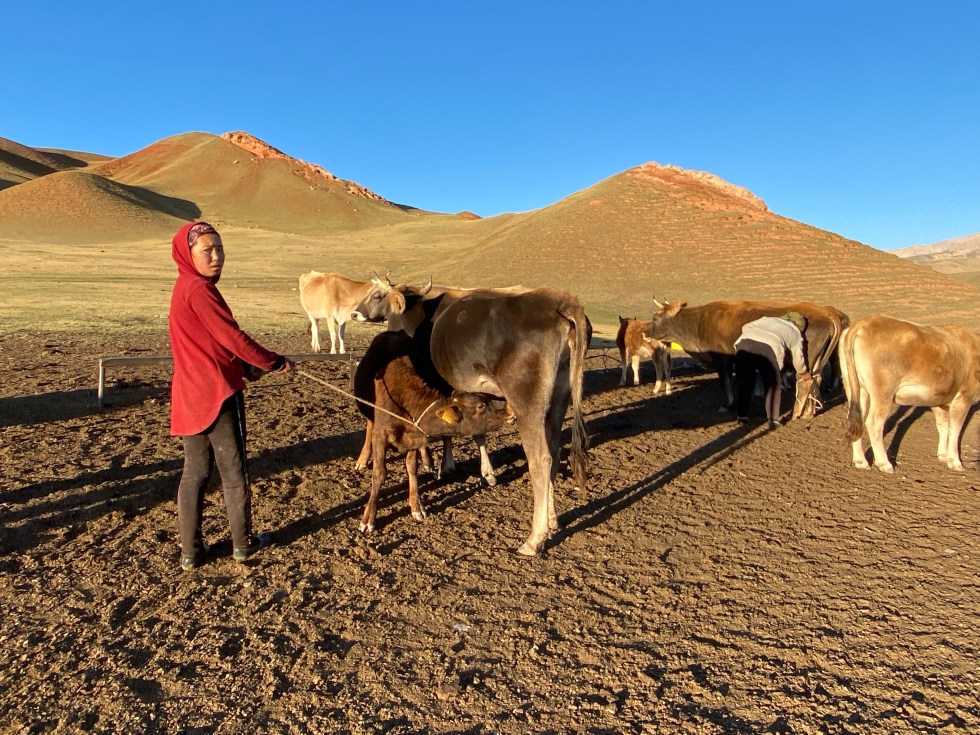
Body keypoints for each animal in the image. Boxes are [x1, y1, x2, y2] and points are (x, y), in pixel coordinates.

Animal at [353, 330, 507, 532]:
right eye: (481, 406)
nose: (507, 411)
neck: (405, 400)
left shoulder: (414, 435)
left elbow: (412, 467)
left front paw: (416, 505)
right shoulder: (381, 436)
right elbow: (379, 473)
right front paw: (368, 518)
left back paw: (427, 460)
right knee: (369, 425)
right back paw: (362, 459)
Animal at [643, 298, 849, 419]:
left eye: (655, 318)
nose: (644, 332)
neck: (701, 321)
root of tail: (827, 313)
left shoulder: (722, 359)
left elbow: (725, 381)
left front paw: (728, 405)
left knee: (806, 382)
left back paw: (797, 413)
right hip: (817, 362)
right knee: (814, 381)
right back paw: (808, 412)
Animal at [839, 314, 980, 473]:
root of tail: (864, 322)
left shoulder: (938, 399)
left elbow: (943, 426)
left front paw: (943, 455)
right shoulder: (964, 397)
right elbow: (955, 430)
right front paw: (955, 462)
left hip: (856, 388)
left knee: (857, 419)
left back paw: (861, 461)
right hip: (883, 392)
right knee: (874, 423)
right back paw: (884, 464)